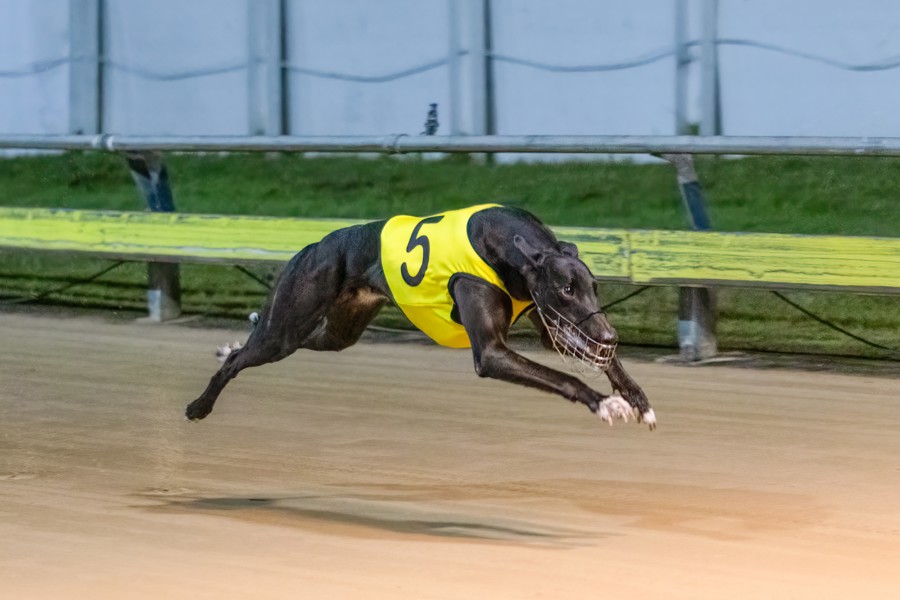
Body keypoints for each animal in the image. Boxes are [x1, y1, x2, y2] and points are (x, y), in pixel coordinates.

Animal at [186, 204, 655, 429]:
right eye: (565, 289)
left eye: (594, 287)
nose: (610, 335)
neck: (508, 245)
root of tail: (315, 245)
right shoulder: (492, 352)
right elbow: (563, 376)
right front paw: (605, 403)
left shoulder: (553, 322)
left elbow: (601, 360)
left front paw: (638, 400)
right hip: (287, 325)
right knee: (244, 358)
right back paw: (199, 404)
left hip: (336, 331)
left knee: (282, 341)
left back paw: (231, 343)